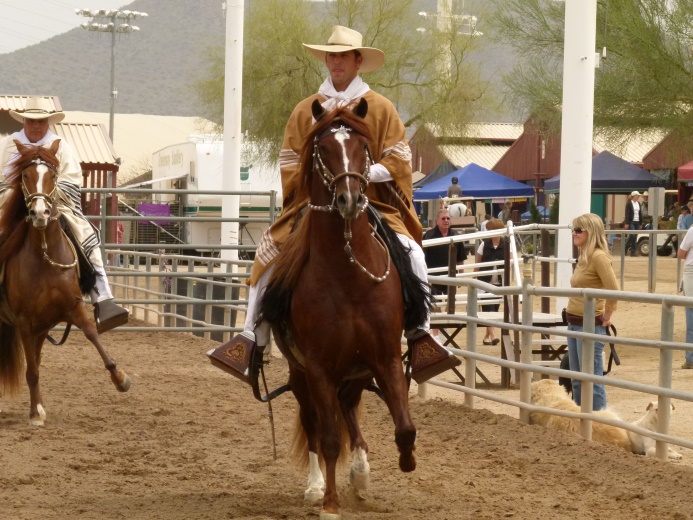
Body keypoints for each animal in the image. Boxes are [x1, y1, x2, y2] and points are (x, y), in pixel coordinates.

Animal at [0, 139, 130, 426]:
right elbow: (32, 371)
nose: (39, 213)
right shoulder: (24, 321)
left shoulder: (72, 308)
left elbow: (92, 333)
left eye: (53, 175)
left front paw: (120, 378)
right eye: (25, 176)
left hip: (39, 329)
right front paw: (35, 414)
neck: (44, 257)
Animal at [260, 99, 424, 516]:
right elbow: (330, 439)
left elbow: (405, 428)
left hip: (357, 371)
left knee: (348, 409)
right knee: (315, 425)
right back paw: (317, 485)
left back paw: (361, 473)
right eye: (323, 148)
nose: (350, 200)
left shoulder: (385, 358)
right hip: (303, 374)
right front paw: (330, 503)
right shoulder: (318, 367)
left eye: (362, 149)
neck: (348, 276)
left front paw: (405, 461)